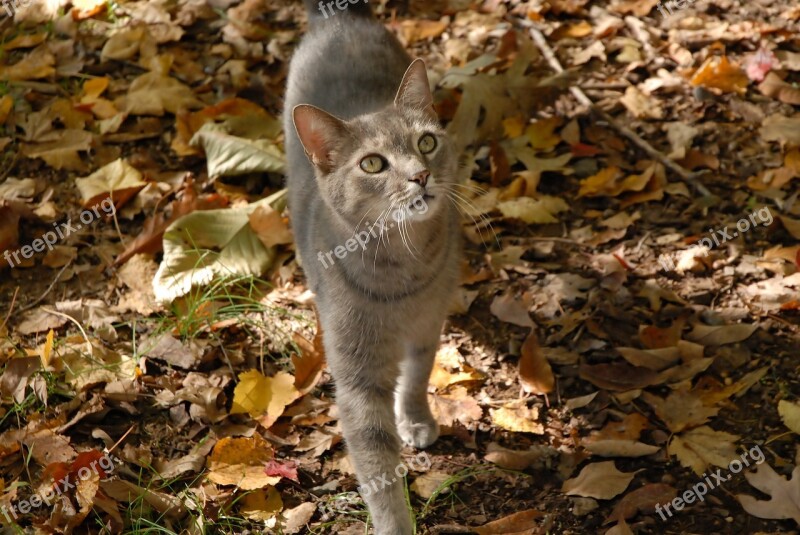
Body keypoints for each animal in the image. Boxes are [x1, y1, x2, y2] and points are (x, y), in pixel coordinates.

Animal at [282, 2, 460, 532]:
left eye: (426, 143)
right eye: (374, 164)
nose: (420, 175)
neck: (405, 268)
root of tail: (336, 17)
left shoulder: (429, 323)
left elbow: (418, 374)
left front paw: (416, 418)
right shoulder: (357, 376)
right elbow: (377, 462)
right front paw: (395, 525)